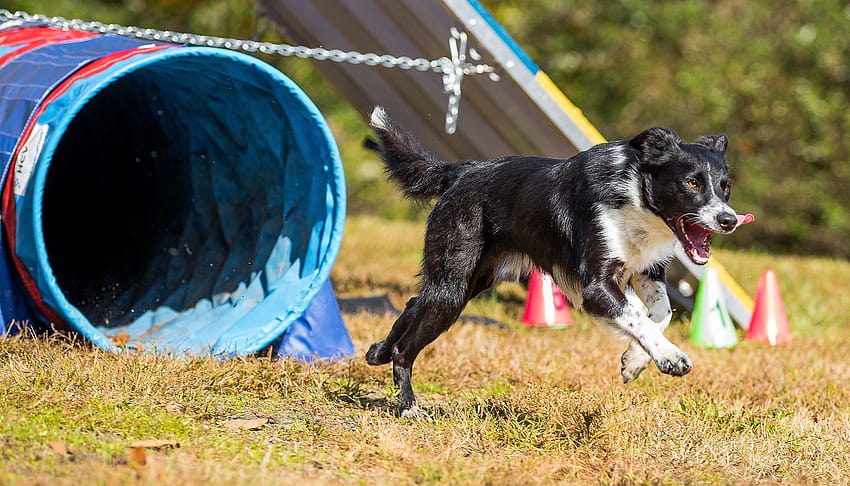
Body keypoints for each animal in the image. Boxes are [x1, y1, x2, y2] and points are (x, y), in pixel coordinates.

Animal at [364, 107, 748, 418]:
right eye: (692, 183)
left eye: (725, 187)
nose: (729, 220)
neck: (636, 196)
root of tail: (464, 171)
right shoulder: (596, 287)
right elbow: (637, 315)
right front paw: (670, 357)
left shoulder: (645, 270)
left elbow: (660, 313)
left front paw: (635, 360)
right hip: (452, 285)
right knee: (407, 345)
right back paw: (408, 406)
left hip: (469, 282)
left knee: (413, 303)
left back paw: (377, 351)